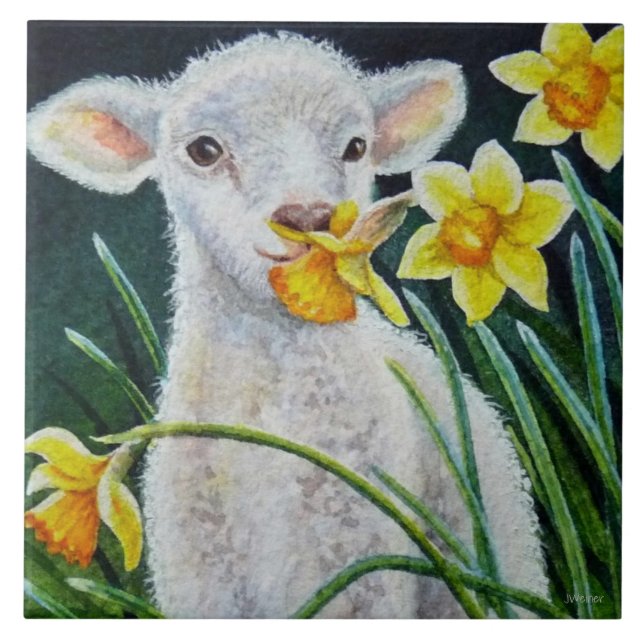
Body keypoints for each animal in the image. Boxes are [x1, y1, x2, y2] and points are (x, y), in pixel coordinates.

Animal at [27, 32, 547, 618]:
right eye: (203, 150)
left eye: (356, 147)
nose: (308, 217)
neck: (269, 409)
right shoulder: (199, 575)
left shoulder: (363, 562)